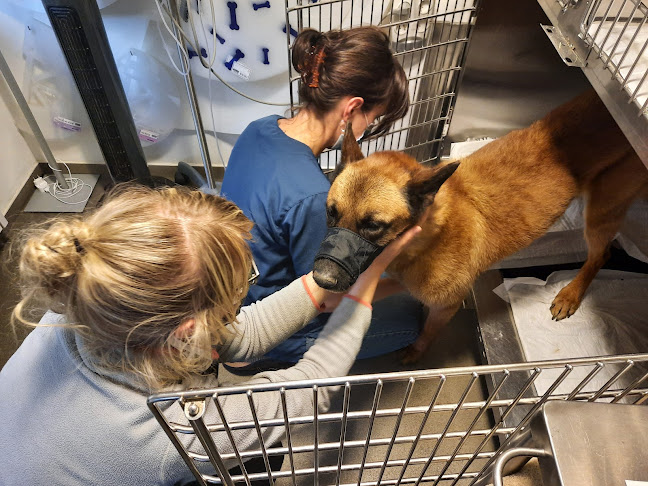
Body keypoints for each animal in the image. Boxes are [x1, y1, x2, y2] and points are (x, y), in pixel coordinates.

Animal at [314, 91, 648, 362]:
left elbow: (428, 332)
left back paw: (571, 294)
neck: (429, 234)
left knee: (600, 256)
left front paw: (417, 350)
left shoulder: (445, 306)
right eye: (331, 212)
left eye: (374, 225)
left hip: (600, 214)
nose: (321, 280)